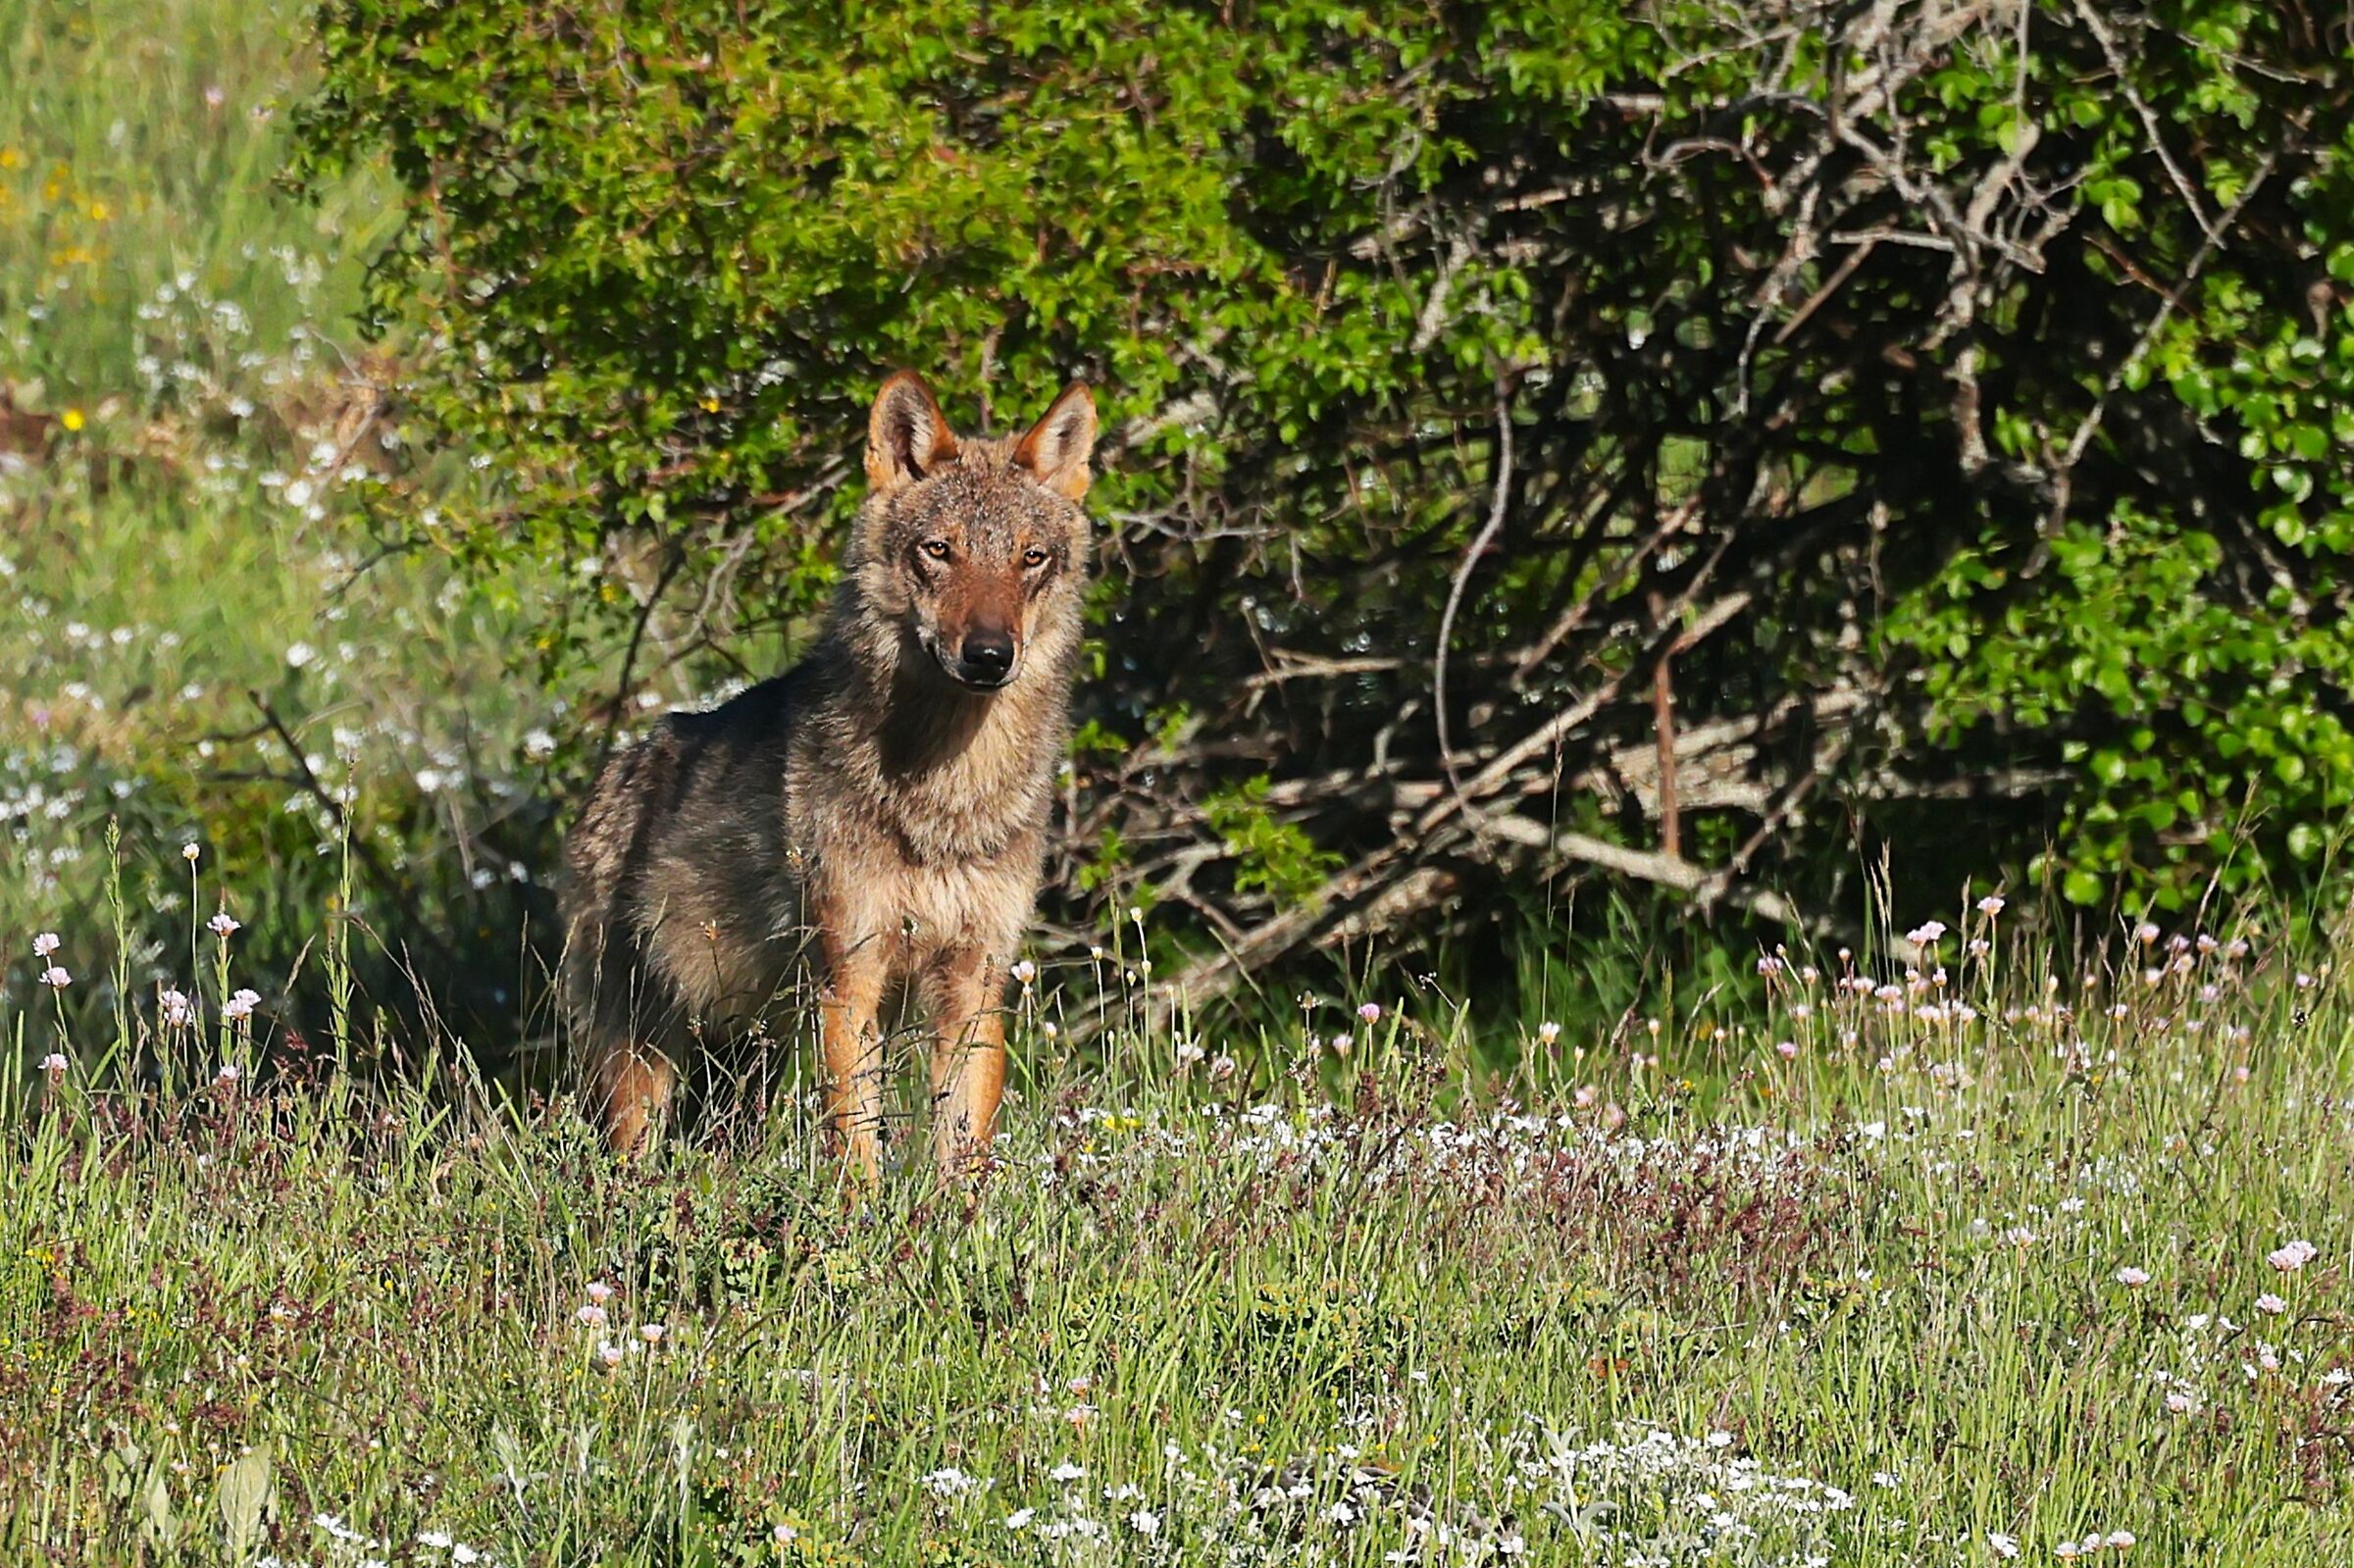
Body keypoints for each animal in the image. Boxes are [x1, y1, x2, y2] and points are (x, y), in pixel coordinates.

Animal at [558, 371, 1098, 1179]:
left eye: (1030, 557)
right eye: (939, 550)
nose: (989, 655)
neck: (946, 797)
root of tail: (613, 770)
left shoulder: (977, 982)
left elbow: (963, 1151)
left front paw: (956, 1215)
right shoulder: (850, 980)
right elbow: (857, 1146)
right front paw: (862, 1212)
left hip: (743, 1055)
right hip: (643, 1063)